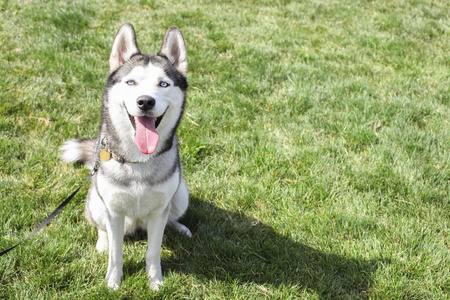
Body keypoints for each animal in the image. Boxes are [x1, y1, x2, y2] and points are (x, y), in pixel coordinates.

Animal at [60, 23, 192, 290]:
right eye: (131, 82)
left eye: (163, 84)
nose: (145, 101)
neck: (138, 161)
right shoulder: (113, 211)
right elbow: (116, 253)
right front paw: (113, 282)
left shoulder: (159, 211)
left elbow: (153, 252)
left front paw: (155, 282)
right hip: (96, 202)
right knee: (101, 228)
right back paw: (102, 241)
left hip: (181, 194)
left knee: (170, 216)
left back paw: (179, 227)